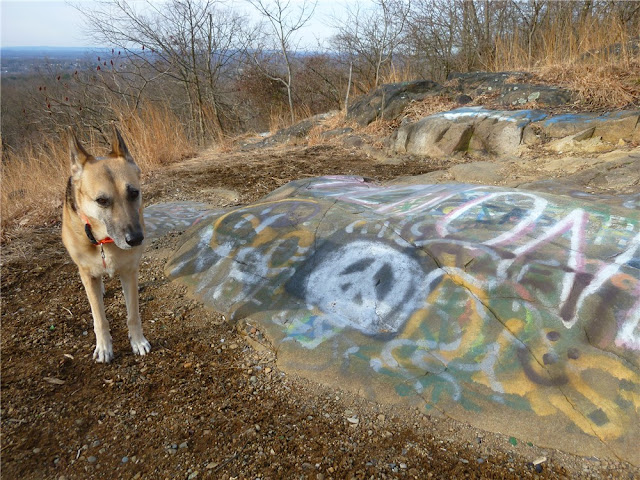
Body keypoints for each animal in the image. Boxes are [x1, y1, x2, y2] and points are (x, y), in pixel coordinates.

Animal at [63, 129, 151, 362]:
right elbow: (99, 319)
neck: (104, 241)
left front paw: (137, 341)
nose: (136, 239)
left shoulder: (129, 271)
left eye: (134, 193)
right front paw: (104, 347)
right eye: (101, 201)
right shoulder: (87, 273)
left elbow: (133, 314)